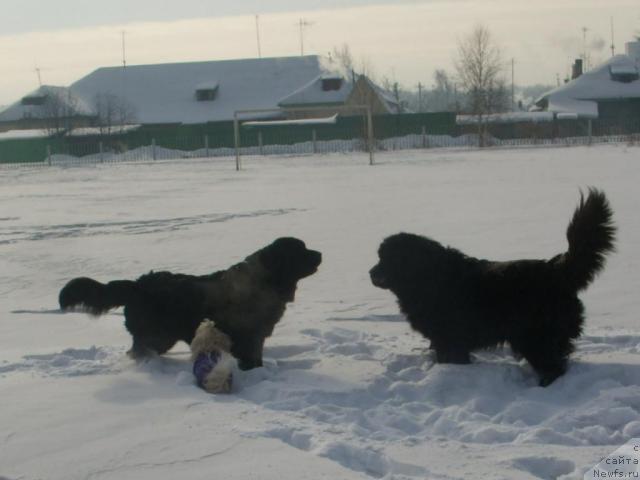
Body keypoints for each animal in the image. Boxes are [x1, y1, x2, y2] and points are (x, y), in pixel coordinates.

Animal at [59, 238, 320, 370]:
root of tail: (137, 284)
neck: (266, 279)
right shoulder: (247, 335)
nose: (320, 253)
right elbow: (250, 356)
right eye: (301, 250)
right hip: (157, 335)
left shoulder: (256, 336)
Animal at [370, 188, 616, 386]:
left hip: (536, 337)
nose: (370, 273)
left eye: (386, 259)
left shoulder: (449, 338)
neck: (426, 277)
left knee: (552, 366)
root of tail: (556, 270)